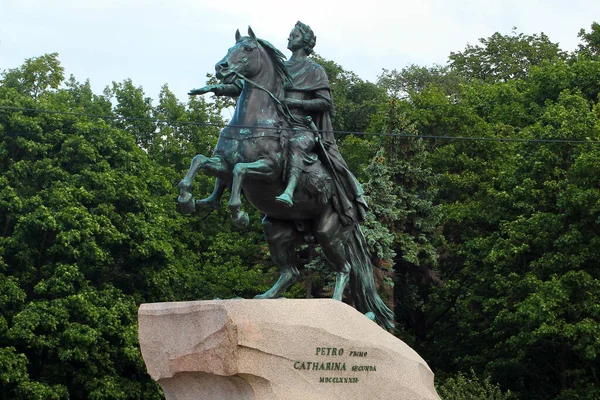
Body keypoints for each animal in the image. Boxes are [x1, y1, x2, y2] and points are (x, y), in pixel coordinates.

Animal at [178, 27, 394, 328]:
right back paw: (266, 297)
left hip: (329, 232)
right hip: (276, 230)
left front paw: (238, 214)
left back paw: (336, 306)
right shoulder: (221, 163)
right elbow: (199, 161)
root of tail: (355, 212)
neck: (253, 123)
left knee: (346, 268)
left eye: (248, 49)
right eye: (231, 48)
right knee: (291, 272)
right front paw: (188, 199)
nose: (221, 67)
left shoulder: (266, 169)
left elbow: (240, 170)